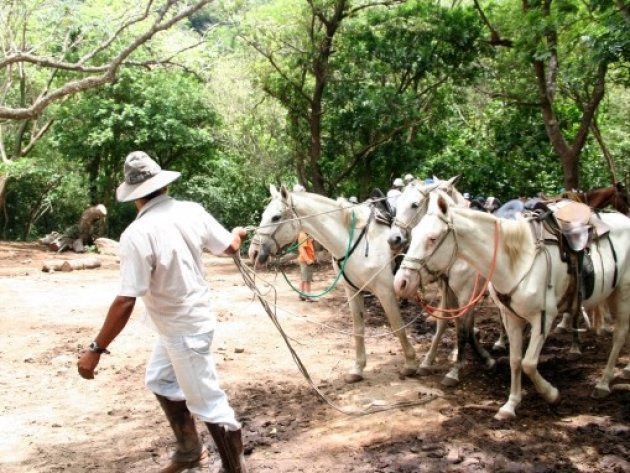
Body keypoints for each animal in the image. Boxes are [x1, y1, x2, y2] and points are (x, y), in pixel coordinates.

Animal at [248, 185, 420, 384]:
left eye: (276, 217)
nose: (253, 252)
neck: (357, 240)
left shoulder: (385, 291)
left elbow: (398, 326)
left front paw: (410, 364)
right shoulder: (352, 291)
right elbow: (358, 329)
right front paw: (357, 369)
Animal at [390, 176, 498, 384]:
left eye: (415, 204)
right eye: (396, 205)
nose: (393, 239)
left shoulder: (466, 294)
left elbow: (463, 328)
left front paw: (456, 369)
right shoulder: (449, 291)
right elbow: (447, 324)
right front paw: (428, 362)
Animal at [396, 190, 630, 418]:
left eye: (432, 238)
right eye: (415, 235)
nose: (400, 282)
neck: (516, 260)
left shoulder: (542, 317)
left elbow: (527, 362)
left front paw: (551, 394)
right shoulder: (508, 315)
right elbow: (515, 360)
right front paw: (510, 405)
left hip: (623, 293)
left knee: (619, 336)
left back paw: (603, 382)